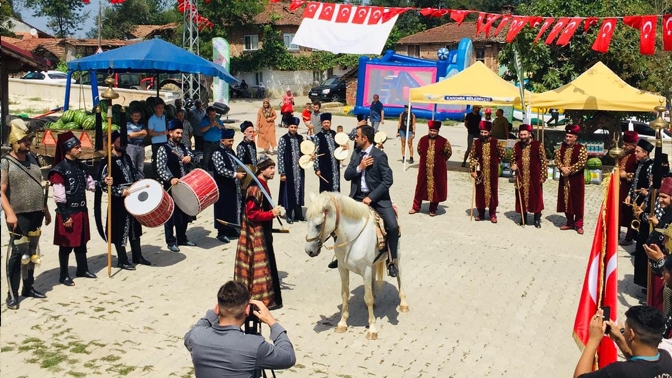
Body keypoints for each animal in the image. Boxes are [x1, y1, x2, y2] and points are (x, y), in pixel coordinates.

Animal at [304, 192, 410, 340]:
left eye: (319, 225)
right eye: (307, 221)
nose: (309, 251)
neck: (351, 238)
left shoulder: (366, 270)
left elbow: (368, 298)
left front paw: (372, 329)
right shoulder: (342, 268)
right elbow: (345, 294)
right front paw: (342, 324)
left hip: (397, 255)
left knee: (399, 275)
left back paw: (403, 303)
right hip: (373, 264)